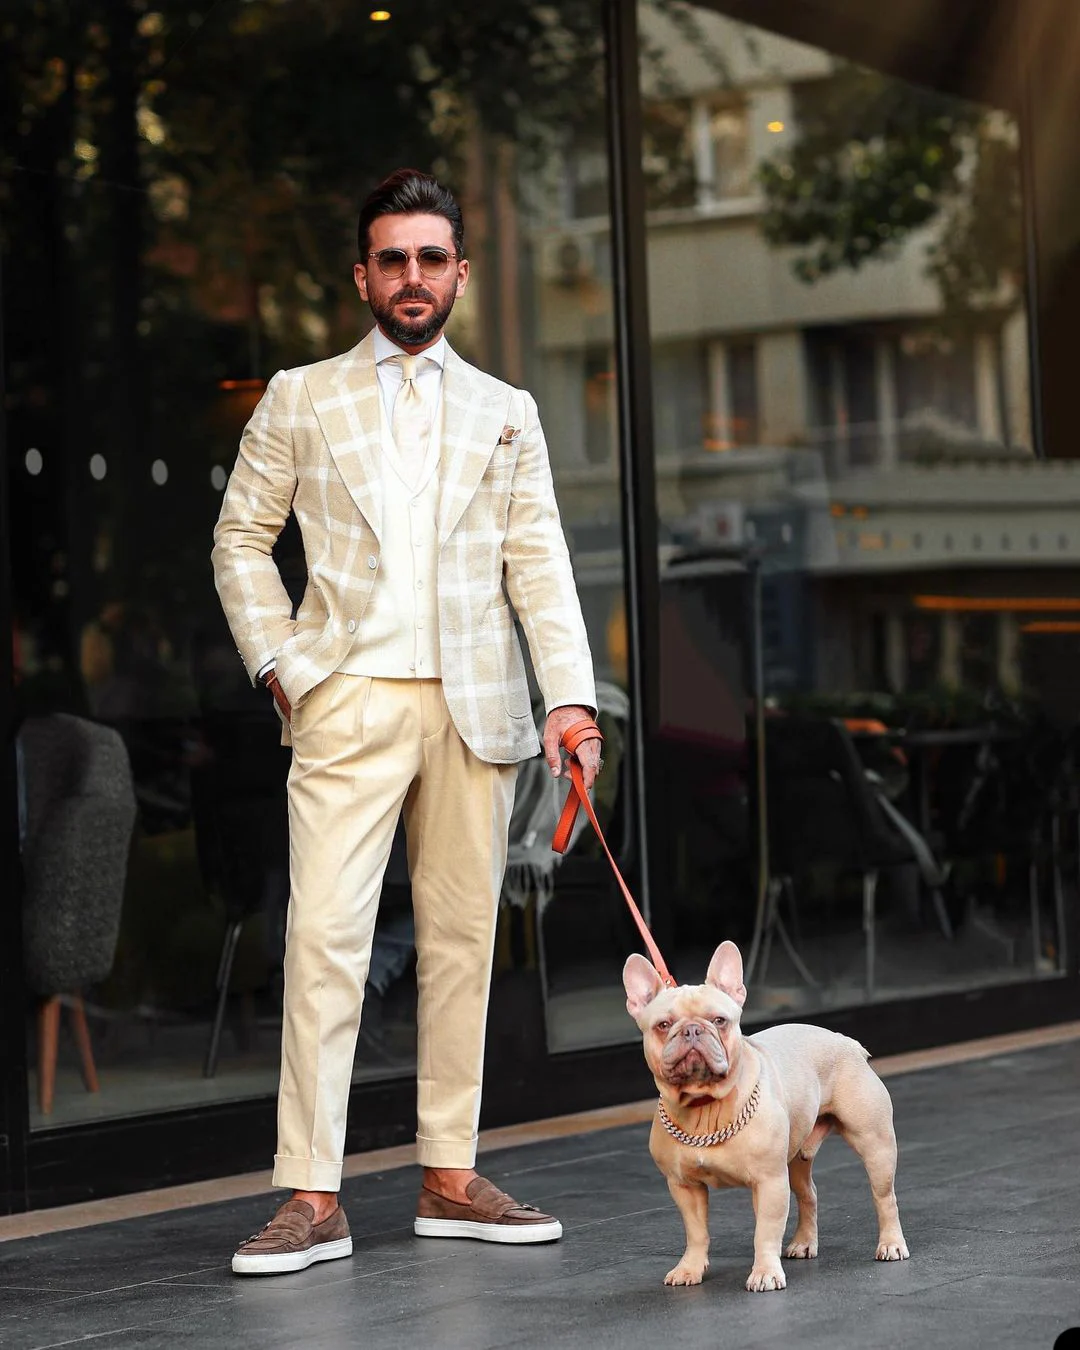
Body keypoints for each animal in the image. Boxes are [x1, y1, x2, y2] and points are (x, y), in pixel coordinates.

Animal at [623, 939, 912, 1296]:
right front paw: (689, 1268)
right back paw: (804, 1242)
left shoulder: (769, 1181)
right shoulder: (684, 1187)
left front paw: (764, 1273)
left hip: (875, 1145)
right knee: (808, 1194)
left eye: (719, 1020)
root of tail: (842, 1038)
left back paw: (891, 1244)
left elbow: (765, 1231)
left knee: (884, 1197)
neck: (706, 1109)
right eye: (663, 1025)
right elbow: (696, 1232)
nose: (691, 1030)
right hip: (796, 1159)